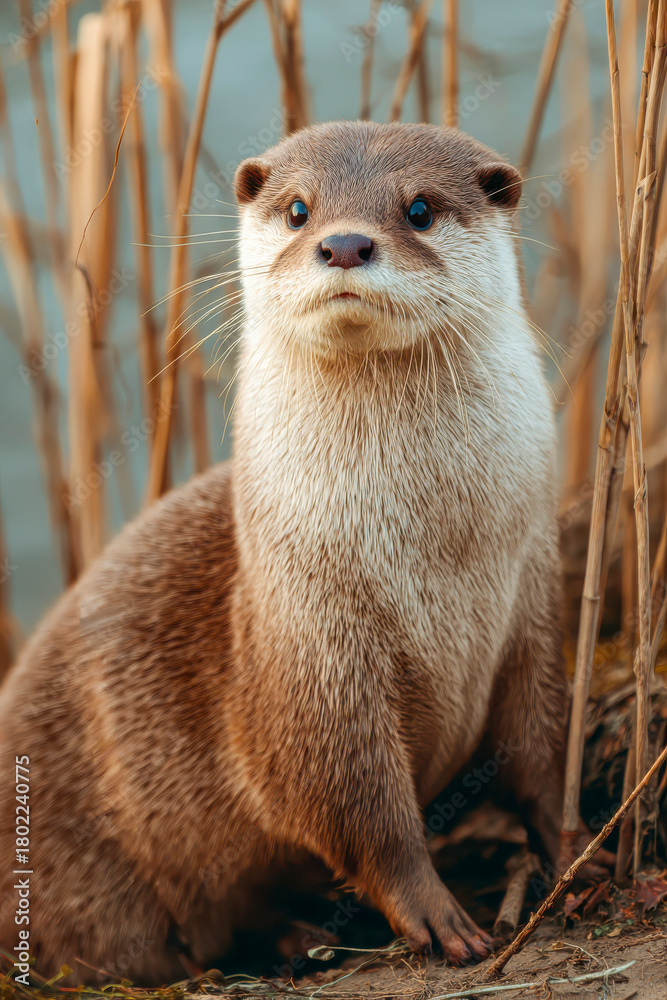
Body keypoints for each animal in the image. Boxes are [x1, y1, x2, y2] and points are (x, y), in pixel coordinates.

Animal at [1, 121, 593, 984]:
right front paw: (438, 916)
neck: (435, 560)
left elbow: (540, 751)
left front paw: (579, 854)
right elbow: (356, 803)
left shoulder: (532, 595)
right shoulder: (315, 648)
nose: (343, 244)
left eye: (418, 208)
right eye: (298, 209)